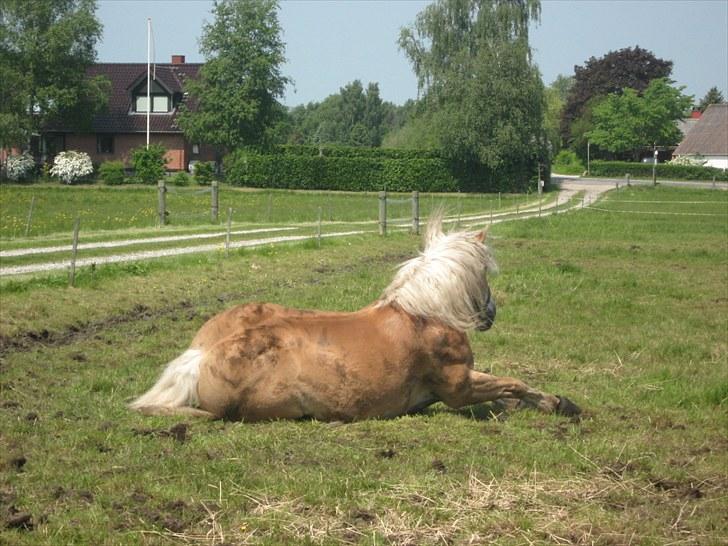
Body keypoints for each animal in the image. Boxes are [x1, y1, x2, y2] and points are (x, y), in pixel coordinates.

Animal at [128, 212, 576, 420]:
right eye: (484, 273)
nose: (490, 314)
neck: (426, 316)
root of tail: (200, 357)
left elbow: (507, 390)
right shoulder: (459, 388)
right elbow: (513, 384)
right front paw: (557, 403)